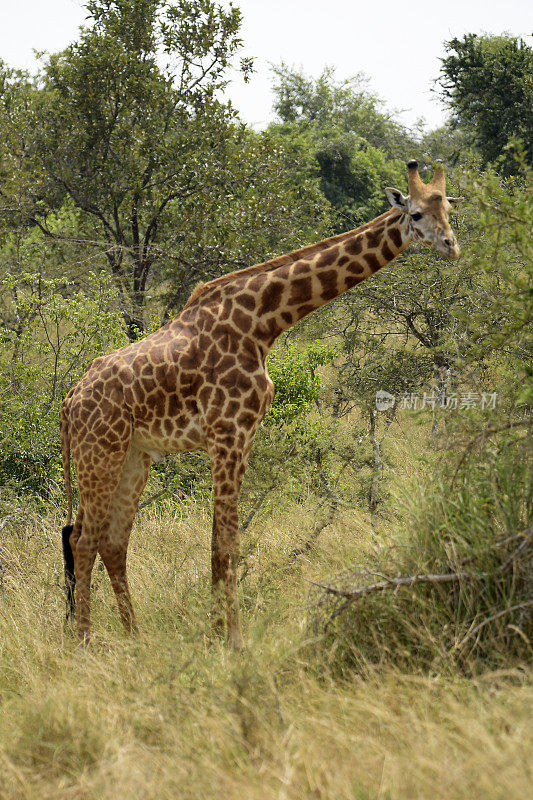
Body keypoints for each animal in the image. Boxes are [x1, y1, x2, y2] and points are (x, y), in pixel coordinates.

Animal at [61, 159, 462, 648]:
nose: (451, 247)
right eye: (417, 214)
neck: (264, 323)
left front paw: (217, 635)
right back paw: (84, 643)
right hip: (99, 452)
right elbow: (227, 543)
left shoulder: (244, 436)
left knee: (112, 541)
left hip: (134, 455)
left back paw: (135, 638)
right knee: (83, 539)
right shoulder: (226, 433)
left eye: (449, 210)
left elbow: (221, 542)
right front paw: (232, 641)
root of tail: (69, 402)